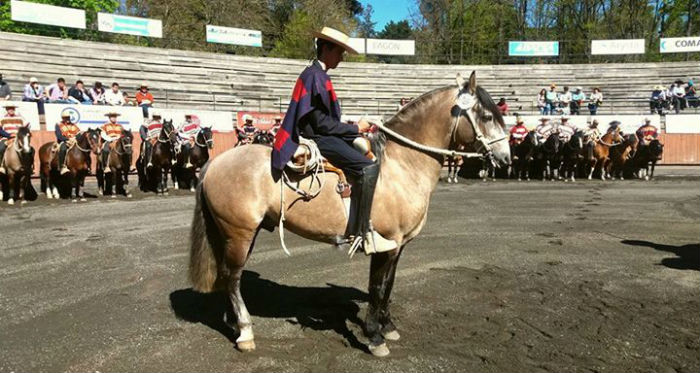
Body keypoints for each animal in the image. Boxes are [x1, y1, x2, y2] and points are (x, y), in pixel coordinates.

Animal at [189, 72, 512, 354]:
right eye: (487, 117)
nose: (506, 158)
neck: (402, 164)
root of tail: (216, 162)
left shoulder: (398, 245)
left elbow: (387, 285)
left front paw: (387, 327)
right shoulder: (386, 243)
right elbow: (378, 287)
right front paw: (374, 337)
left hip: (238, 233)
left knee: (229, 275)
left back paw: (233, 324)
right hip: (239, 233)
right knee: (232, 277)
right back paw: (245, 332)